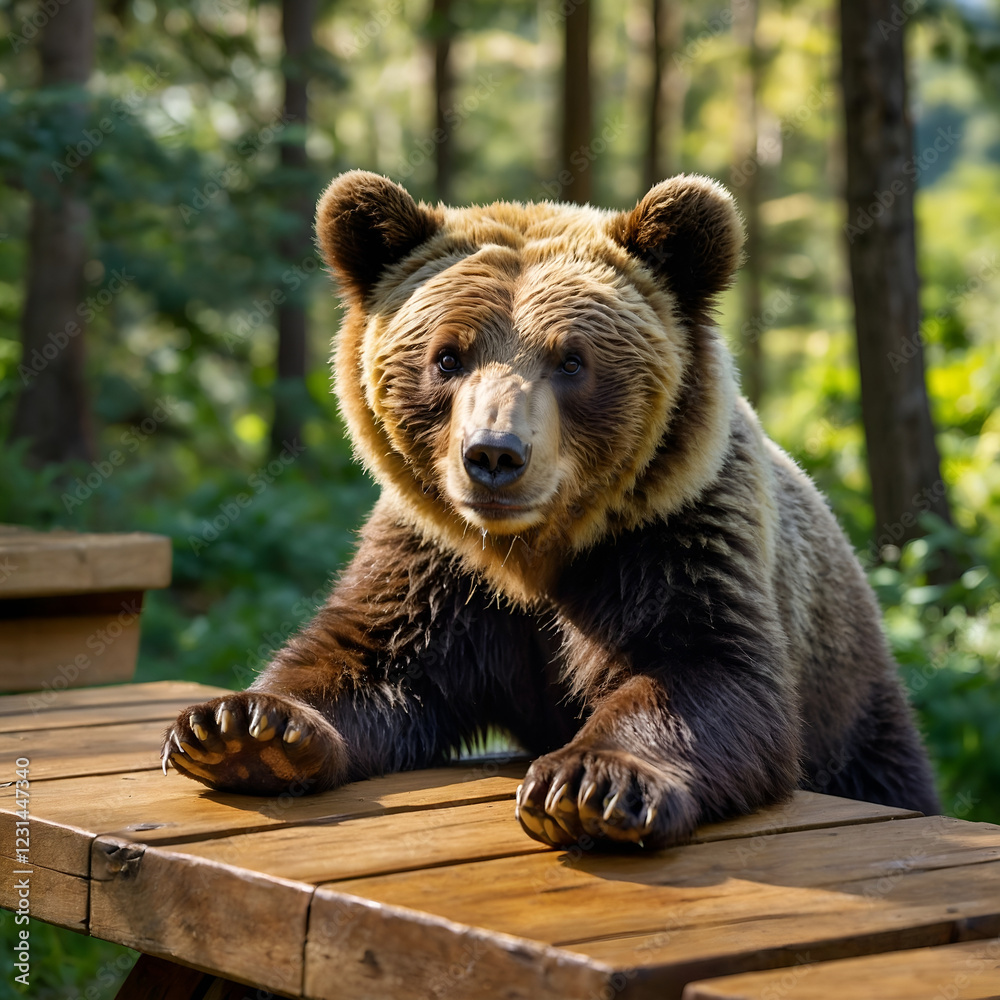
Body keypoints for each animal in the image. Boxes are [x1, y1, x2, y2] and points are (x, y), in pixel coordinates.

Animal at [162, 170, 940, 850]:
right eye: (447, 356)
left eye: (572, 360)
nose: (494, 455)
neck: (531, 551)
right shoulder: (436, 563)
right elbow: (367, 653)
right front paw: (242, 729)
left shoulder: (674, 536)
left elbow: (705, 671)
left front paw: (591, 785)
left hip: (856, 711)